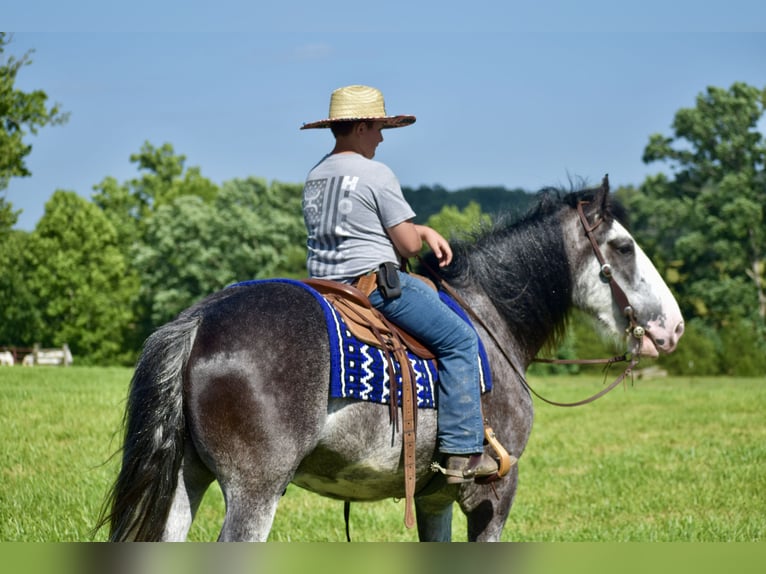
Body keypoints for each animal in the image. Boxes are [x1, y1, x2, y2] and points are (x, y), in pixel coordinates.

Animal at [97, 180, 684, 544]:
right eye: (624, 247)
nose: (673, 327)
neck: (489, 319)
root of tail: (200, 321)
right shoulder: (494, 494)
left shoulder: (435, 498)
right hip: (253, 492)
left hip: (185, 481)